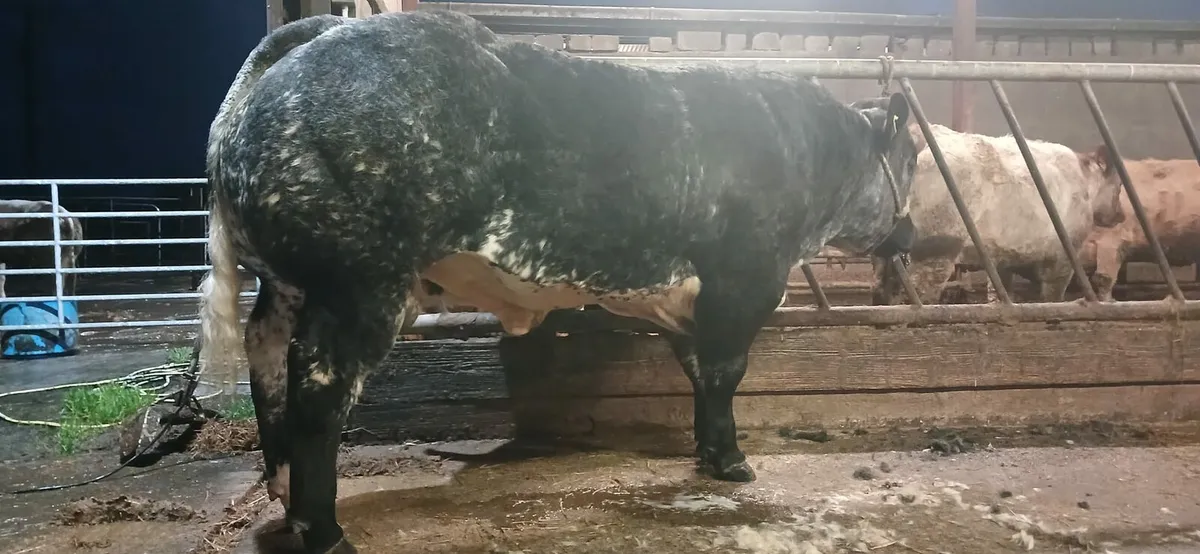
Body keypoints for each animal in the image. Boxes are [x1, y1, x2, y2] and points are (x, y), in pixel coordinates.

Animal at [198, 11, 922, 553]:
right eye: (913, 158)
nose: (911, 234)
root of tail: (317, 37)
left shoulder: (689, 302)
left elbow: (697, 372)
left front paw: (707, 452)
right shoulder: (744, 281)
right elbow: (725, 375)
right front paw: (732, 462)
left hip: (291, 285)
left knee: (268, 358)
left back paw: (283, 488)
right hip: (360, 283)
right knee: (319, 387)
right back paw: (324, 530)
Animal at [872, 123, 1125, 306]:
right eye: (1119, 185)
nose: (1120, 216)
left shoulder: (1003, 256)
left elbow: (1003, 290)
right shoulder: (1064, 255)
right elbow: (1052, 296)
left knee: (882, 290)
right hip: (937, 248)